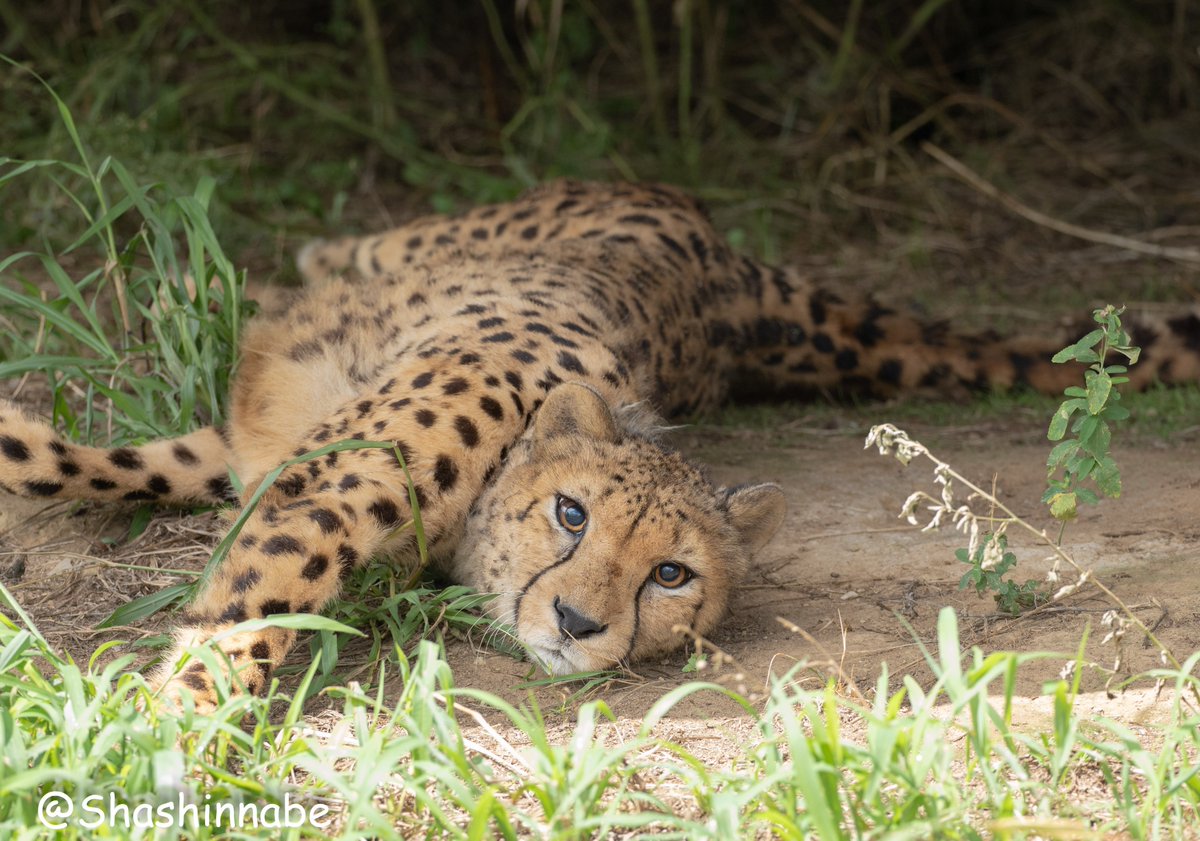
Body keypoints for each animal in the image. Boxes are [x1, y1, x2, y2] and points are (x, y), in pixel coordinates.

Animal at [2, 178, 1200, 710]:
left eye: (672, 575)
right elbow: (224, 582)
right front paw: (170, 733)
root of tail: (731, 270)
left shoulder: (274, 469)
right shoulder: (312, 477)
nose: (578, 623)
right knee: (353, 250)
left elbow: (153, 511)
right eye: (570, 514)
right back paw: (254, 270)